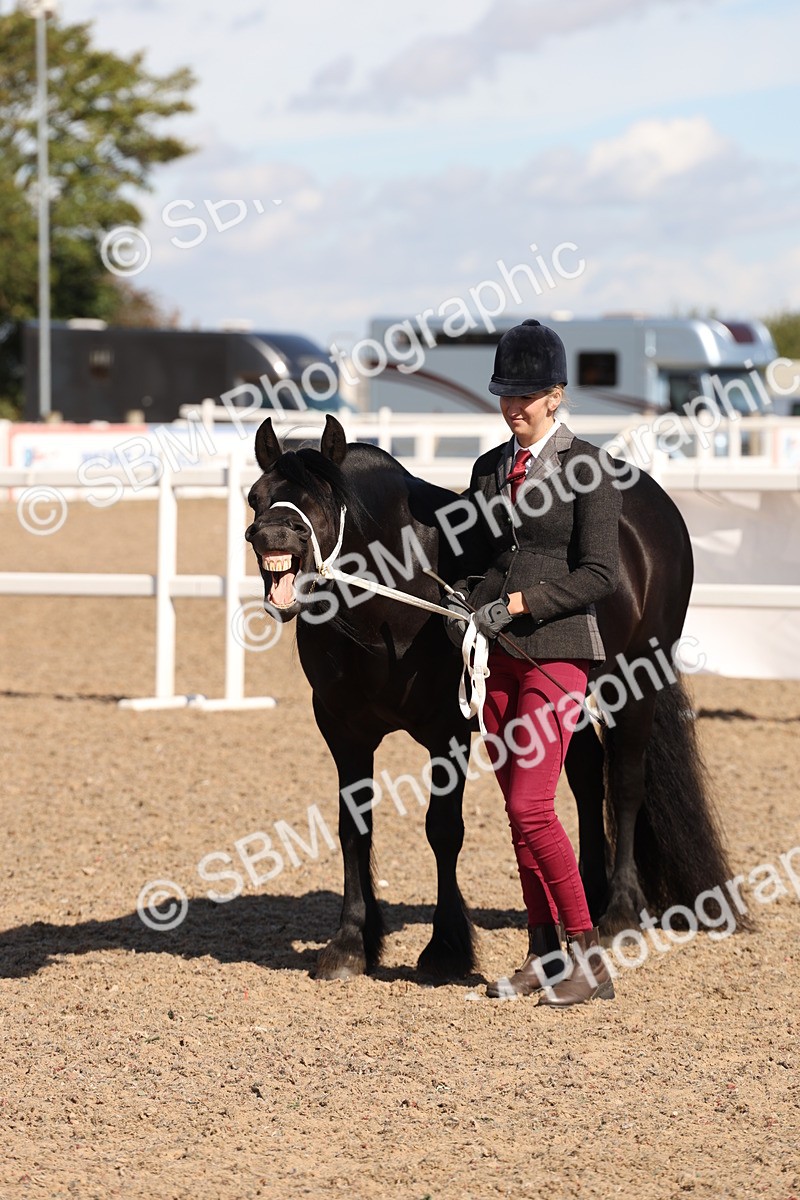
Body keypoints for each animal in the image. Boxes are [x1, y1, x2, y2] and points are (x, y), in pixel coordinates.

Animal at [245, 414, 734, 980]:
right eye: (256, 497)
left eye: (324, 499)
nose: (273, 535)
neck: (394, 602)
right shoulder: (344, 732)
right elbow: (353, 828)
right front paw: (350, 943)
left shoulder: (448, 733)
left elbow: (442, 829)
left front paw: (446, 948)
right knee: (587, 774)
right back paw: (588, 896)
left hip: (635, 681)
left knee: (627, 783)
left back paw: (618, 912)